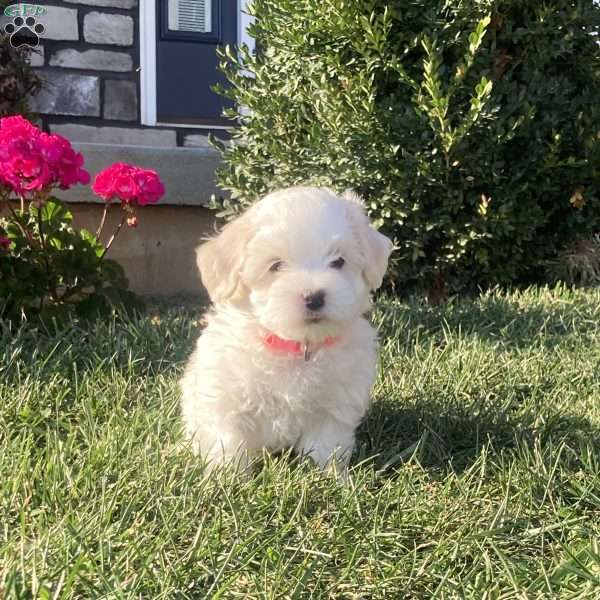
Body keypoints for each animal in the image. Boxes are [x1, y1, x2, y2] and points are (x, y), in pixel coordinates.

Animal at [180, 186, 392, 474]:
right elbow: (229, 442)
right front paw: (228, 477)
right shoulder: (227, 398)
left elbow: (326, 445)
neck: (296, 346)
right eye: (276, 265)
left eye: (338, 261)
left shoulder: (334, 404)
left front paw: (329, 477)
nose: (314, 297)